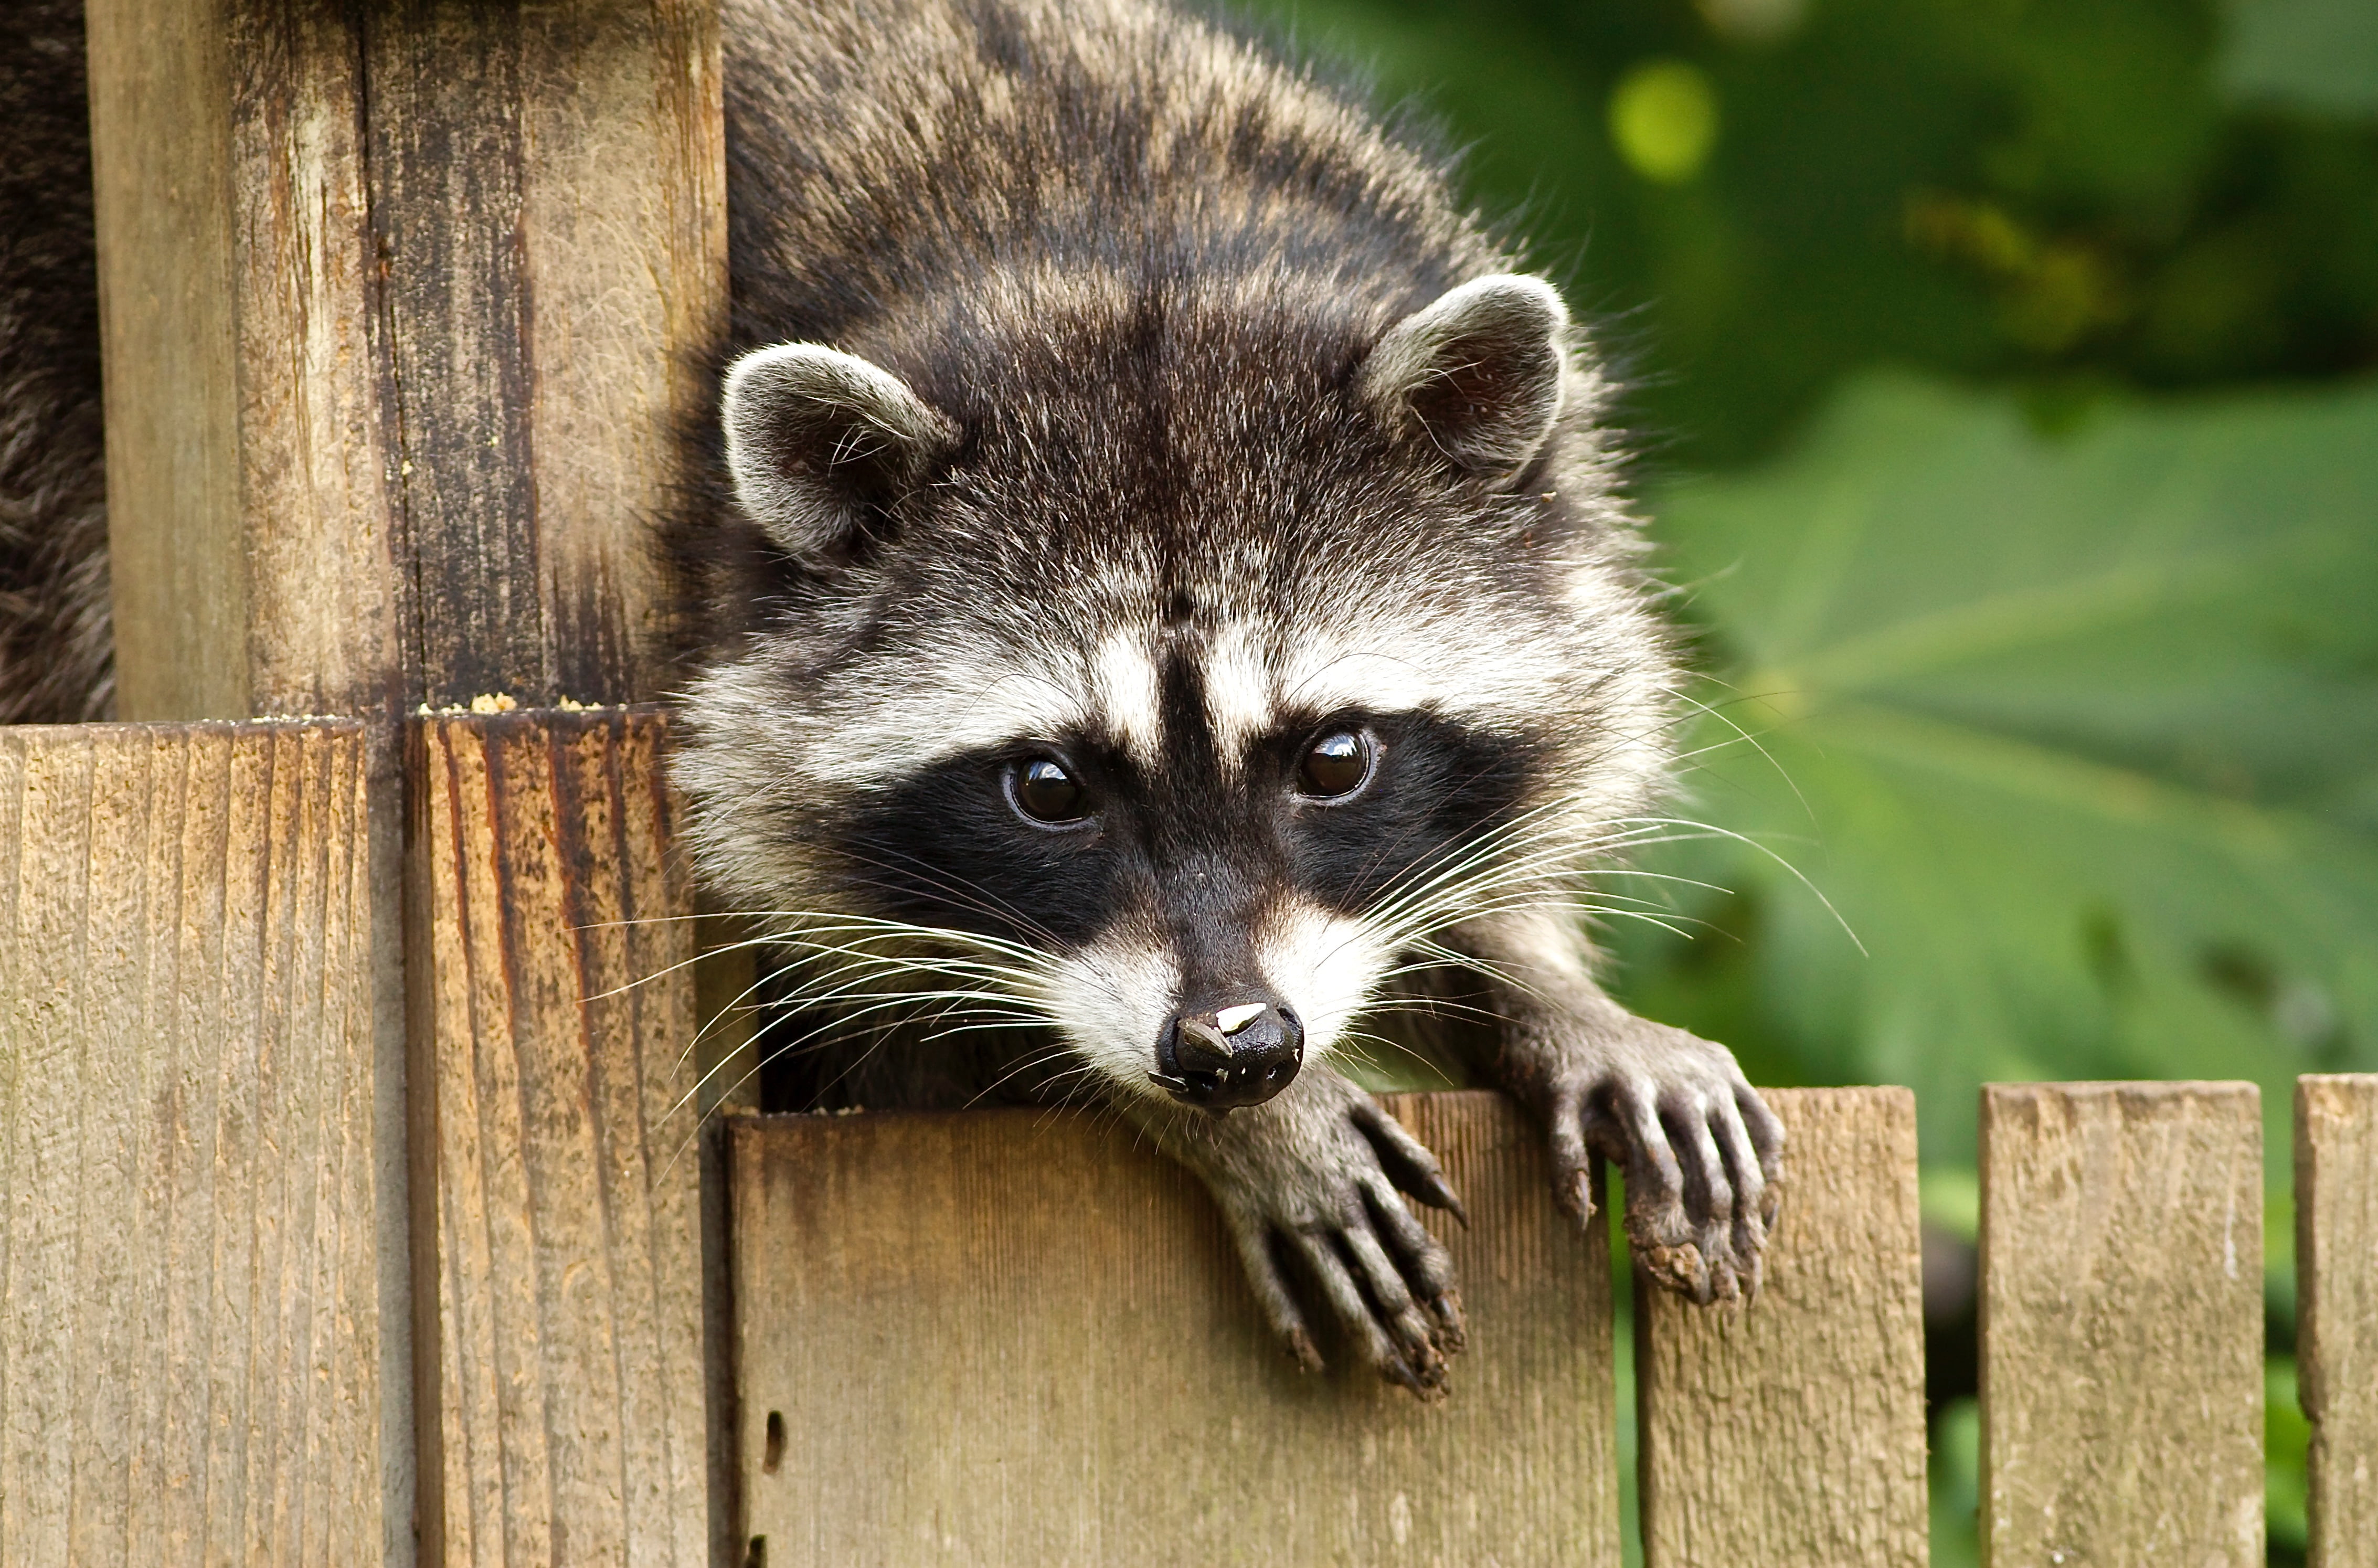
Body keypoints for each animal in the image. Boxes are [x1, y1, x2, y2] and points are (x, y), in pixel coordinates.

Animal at [680, 0, 1784, 1394]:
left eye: (1334, 758)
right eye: (1049, 788)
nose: (1236, 1049)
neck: (1117, 244)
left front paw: (1550, 991)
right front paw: (1246, 1126)